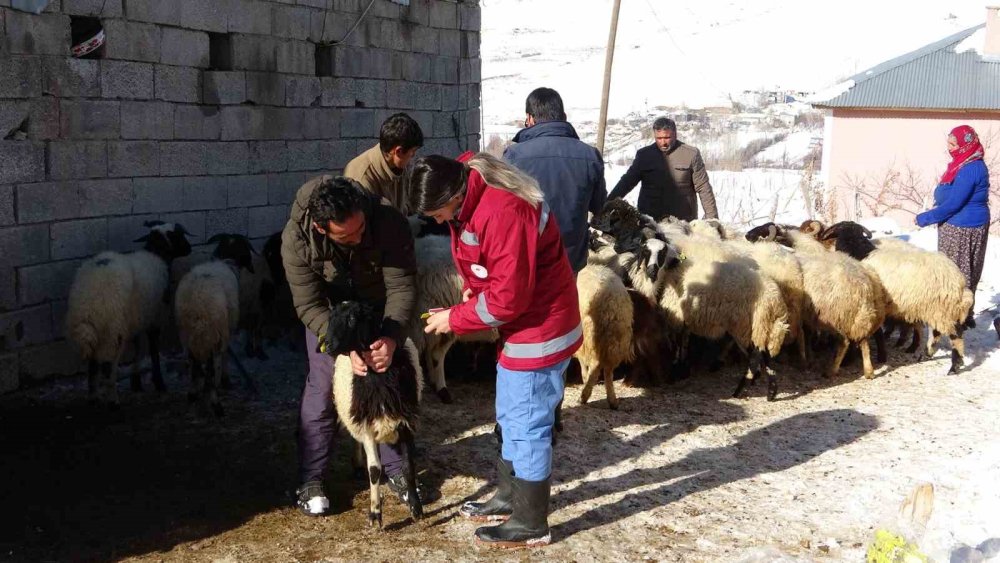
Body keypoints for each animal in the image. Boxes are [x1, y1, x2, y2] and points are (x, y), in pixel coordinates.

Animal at [66, 221, 193, 406]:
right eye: (178, 235)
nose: (189, 248)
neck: (157, 255)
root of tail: (90, 297)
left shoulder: (137, 318)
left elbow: (137, 347)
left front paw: (136, 383)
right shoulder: (155, 318)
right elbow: (153, 351)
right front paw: (159, 383)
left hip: (96, 328)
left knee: (93, 364)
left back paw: (93, 397)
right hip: (113, 328)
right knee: (108, 365)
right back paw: (113, 400)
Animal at [174, 262, 240, 416]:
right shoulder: (221, 336)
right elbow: (220, 361)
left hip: (191, 338)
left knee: (195, 365)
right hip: (214, 336)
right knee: (213, 366)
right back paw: (216, 400)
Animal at [576, 264, 628, 410]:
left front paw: (584, 377)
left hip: (590, 335)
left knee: (595, 365)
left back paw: (584, 396)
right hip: (617, 337)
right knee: (609, 370)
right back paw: (613, 401)